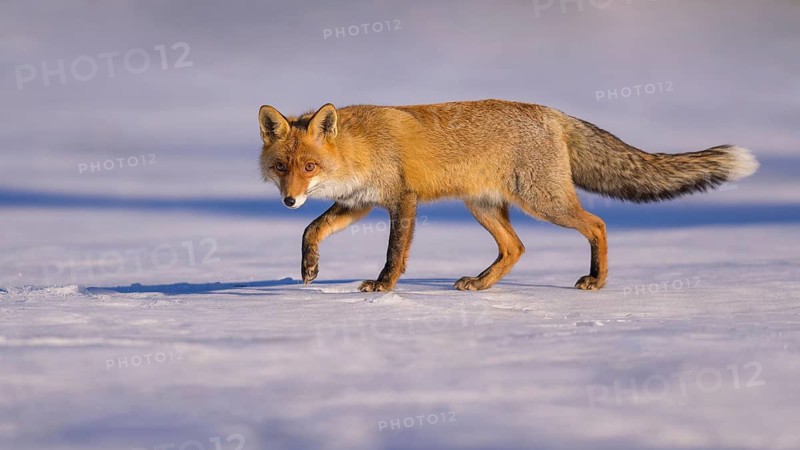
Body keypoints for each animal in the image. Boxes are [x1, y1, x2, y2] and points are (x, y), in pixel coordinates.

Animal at [258, 99, 758, 292]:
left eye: (309, 168)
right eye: (282, 168)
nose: (288, 201)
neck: (359, 148)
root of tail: (553, 113)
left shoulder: (402, 199)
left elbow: (394, 253)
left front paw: (384, 287)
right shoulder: (360, 202)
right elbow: (312, 229)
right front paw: (309, 268)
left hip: (544, 202)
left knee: (597, 224)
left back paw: (596, 280)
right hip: (483, 207)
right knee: (516, 248)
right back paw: (481, 284)